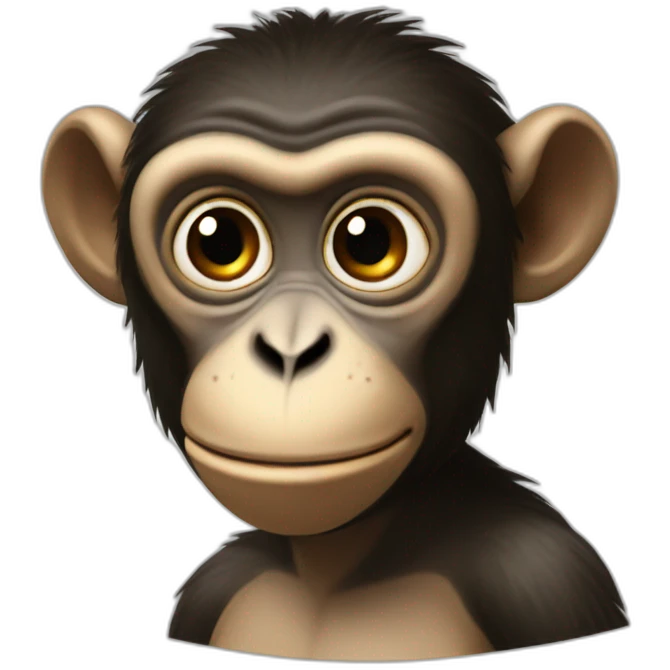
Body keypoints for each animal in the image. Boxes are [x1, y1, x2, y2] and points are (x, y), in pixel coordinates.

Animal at [40, 7, 629, 662]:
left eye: (369, 240)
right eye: (217, 241)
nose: (290, 350)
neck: (338, 568)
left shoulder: (541, 580)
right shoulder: (211, 593)